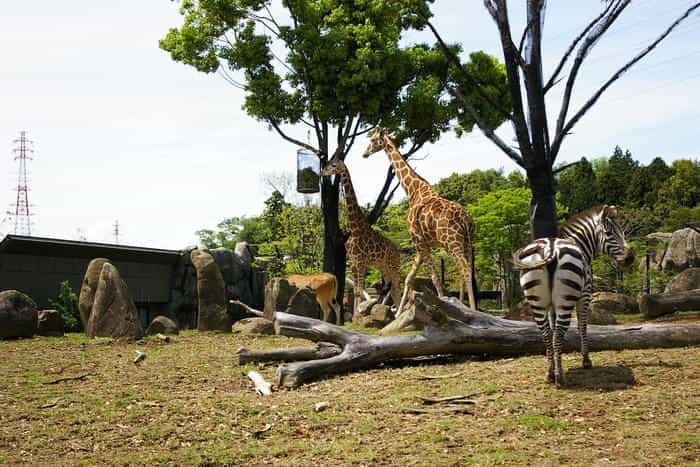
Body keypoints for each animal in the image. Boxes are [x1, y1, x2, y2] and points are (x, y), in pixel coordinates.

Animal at [320, 159, 402, 316]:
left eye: (334, 165)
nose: (322, 172)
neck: (354, 228)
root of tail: (398, 252)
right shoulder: (353, 262)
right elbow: (357, 291)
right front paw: (355, 316)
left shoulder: (361, 261)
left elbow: (359, 290)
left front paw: (358, 315)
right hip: (384, 268)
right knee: (392, 290)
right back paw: (395, 314)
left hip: (394, 267)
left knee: (398, 289)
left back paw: (400, 313)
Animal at [360, 130, 476, 316]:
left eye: (372, 139)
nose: (364, 154)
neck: (412, 191)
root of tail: (465, 219)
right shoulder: (421, 245)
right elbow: (409, 278)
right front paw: (398, 313)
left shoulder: (418, 242)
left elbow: (434, 278)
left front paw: (442, 306)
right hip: (468, 242)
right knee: (467, 271)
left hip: (452, 243)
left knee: (465, 269)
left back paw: (472, 310)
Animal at [516, 206, 636, 388]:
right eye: (609, 233)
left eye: (622, 231)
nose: (630, 259)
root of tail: (551, 249)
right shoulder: (584, 296)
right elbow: (582, 326)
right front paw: (586, 360)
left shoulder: (552, 306)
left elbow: (552, 329)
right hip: (566, 300)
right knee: (559, 333)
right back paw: (560, 377)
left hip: (537, 302)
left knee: (547, 333)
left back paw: (550, 374)